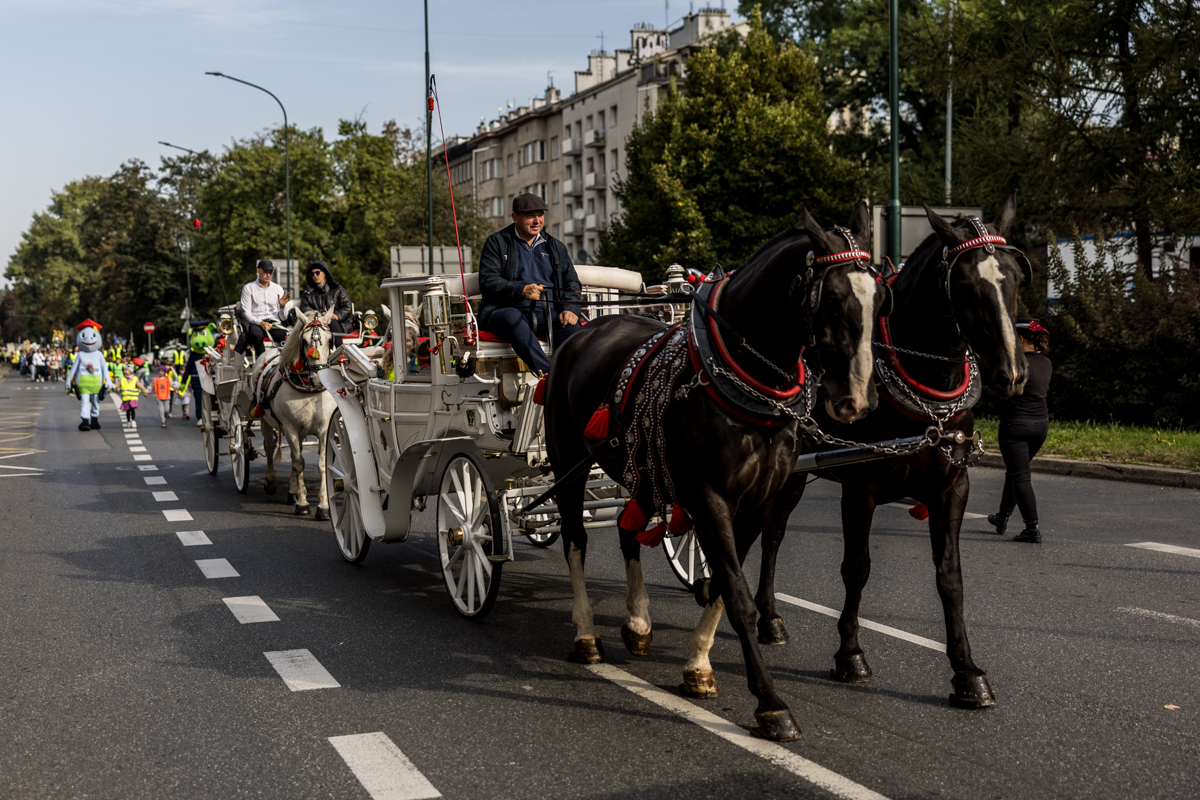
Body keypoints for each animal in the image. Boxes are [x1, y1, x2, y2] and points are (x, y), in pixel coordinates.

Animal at [253, 307, 338, 520]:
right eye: (305, 341)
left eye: (330, 339)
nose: (318, 377)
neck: (310, 390)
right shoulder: (290, 427)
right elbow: (299, 463)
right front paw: (303, 504)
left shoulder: (325, 428)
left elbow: (321, 464)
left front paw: (323, 507)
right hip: (265, 420)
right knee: (269, 447)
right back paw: (271, 482)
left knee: (294, 454)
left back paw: (292, 491)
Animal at [544, 203, 892, 743]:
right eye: (832, 299)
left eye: (879, 299)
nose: (857, 401)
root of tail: (579, 331)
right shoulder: (709, 498)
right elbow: (737, 593)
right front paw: (770, 703)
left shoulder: (758, 501)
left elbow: (727, 588)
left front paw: (699, 665)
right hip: (567, 463)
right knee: (576, 539)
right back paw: (586, 635)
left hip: (638, 466)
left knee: (625, 529)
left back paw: (638, 623)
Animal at [753, 196, 1027, 710]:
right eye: (964, 284)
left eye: (1017, 277)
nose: (1013, 374)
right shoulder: (861, 486)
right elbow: (856, 568)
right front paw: (850, 653)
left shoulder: (951, 487)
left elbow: (950, 578)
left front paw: (966, 671)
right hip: (791, 472)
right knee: (772, 533)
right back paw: (760, 613)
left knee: (772, 532)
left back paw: (769, 616)